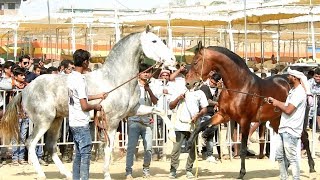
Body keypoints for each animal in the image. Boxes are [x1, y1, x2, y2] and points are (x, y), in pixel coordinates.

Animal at [0, 28, 176, 179]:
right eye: (154, 41)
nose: (173, 60)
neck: (115, 79)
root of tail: (26, 89)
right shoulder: (112, 120)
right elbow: (108, 147)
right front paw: (107, 175)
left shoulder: (133, 110)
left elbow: (159, 110)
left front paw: (173, 136)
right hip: (43, 121)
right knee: (30, 143)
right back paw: (42, 174)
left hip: (56, 120)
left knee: (50, 146)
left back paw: (68, 174)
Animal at [185, 41, 316, 179]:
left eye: (195, 62)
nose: (188, 83)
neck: (239, 86)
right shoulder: (223, 115)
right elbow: (201, 126)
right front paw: (189, 143)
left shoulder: (245, 121)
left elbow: (242, 148)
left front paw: (241, 173)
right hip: (276, 120)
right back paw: (287, 166)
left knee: (304, 138)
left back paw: (311, 166)